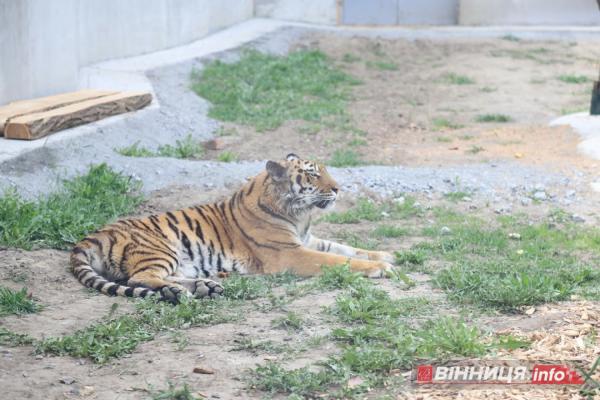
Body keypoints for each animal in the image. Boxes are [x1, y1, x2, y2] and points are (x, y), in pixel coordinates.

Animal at [70, 155, 396, 302]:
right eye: (313, 175)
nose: (339, 189)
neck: (299, 215)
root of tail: (91, 237)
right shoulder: (290, 253)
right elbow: (337, 259)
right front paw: (380, 268)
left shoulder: (307, 240)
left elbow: (346, 248)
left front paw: (385, 255)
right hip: (160, 248)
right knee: (140, 277)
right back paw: (179, 292)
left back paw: (205, 286)